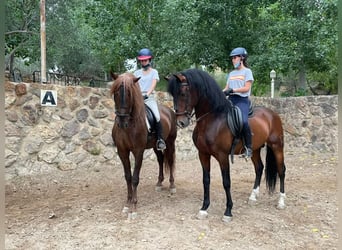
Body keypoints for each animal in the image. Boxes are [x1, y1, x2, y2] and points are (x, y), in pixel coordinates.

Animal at [110, 72, 179, 219]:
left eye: (129, 94)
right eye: (116, 93)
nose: (122, 122)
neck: (129, 125)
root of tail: (168, 110)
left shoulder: (138, 151)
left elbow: (135, 178)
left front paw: (134, 208)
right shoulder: (122, 151)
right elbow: (128, 177)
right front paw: (127, 203)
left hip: (170, 142)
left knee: (170, 161)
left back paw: (172, 186)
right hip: (155, 146)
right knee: (160, 160)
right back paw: (159, 183)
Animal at [166, 69, 286, 223]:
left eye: (183, 93)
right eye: (173, 95)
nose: (181, 122)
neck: (212, 120)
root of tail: (272, 114)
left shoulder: (222, 156)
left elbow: (226, 182)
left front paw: (228, 211)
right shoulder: (203, 154)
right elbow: (206, 180)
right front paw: (204, 208)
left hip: (277, 146)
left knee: (281, 171)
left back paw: (281, 201)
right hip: (254, 150)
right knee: (259, 168)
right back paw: (253, 196)